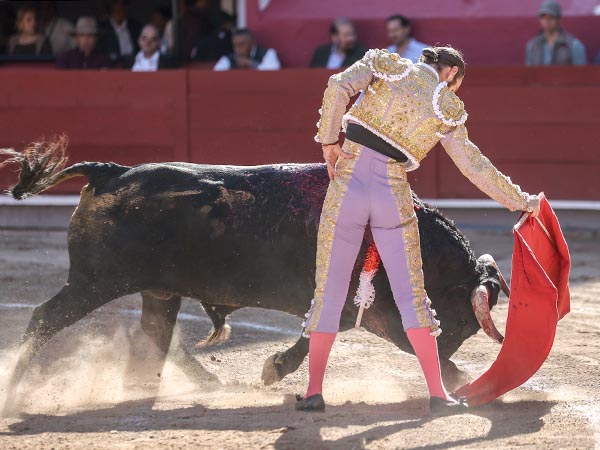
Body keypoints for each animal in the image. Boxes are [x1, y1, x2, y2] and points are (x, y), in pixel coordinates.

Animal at [1, 142, 506, 408]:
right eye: (462, 322)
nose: (448, 353)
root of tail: (111, 172)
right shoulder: (372, 311)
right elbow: (325, 334)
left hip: (157, 289)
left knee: (156, 331)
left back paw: (195, 384)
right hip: (96, 281)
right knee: (45, 317)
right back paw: (15, 387)